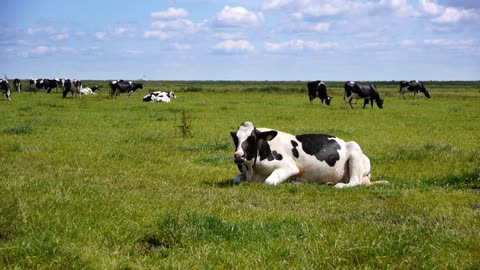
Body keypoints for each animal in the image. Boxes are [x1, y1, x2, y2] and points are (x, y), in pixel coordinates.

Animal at [231, 122, 388, 188]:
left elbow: (269, 181)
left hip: (354, 148)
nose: (238, 156)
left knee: (355, 182)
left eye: (252, 138)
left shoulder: (289, 167)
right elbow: (236, 179)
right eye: (236, 139)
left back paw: (338, 185)